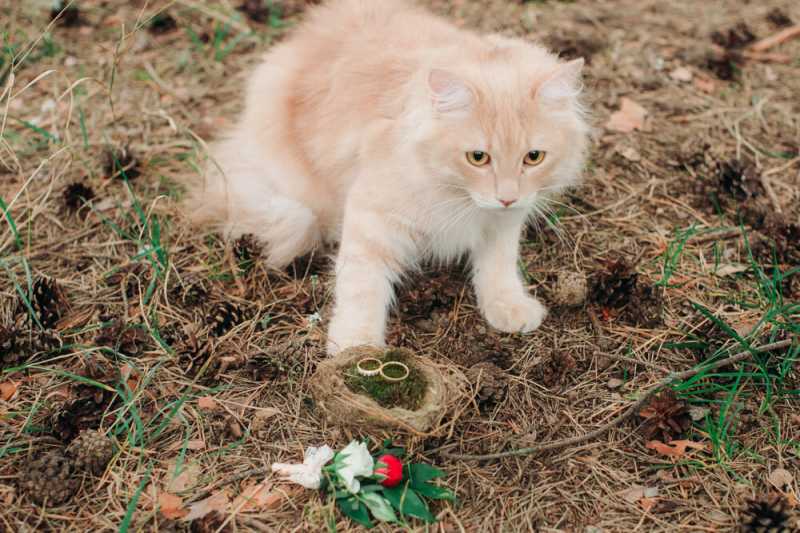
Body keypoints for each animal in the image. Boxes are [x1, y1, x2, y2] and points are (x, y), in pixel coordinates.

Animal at [186, 1, 588, 358]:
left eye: (533, 158)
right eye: (478, 158)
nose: (507, 197)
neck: (458, 196)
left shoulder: (503, 224)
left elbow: (497, 267)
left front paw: (508, 306)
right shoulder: (371, 217)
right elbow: (361, 287)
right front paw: (356, 346)